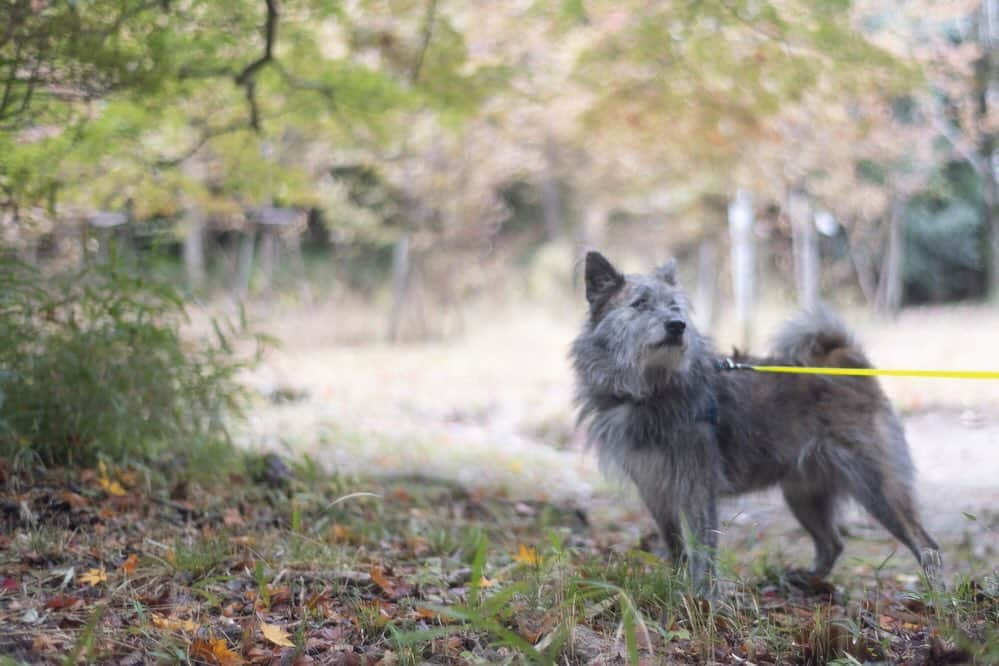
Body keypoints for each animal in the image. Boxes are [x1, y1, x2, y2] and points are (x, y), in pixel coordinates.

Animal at [576, 252, 940, 588]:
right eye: (640, 304)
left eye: (675, 306)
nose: (677, 325)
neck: (651, 389)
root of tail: (848, 364)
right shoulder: (657, 491)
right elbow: (677, 548)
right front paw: (678, 588)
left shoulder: (696, 488)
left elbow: (702, 550)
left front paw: (700, 598)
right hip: (803, 495)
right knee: (832, 544)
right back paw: (805, 584)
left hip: (876, 487)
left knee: (926, 545)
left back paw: (938, 598)